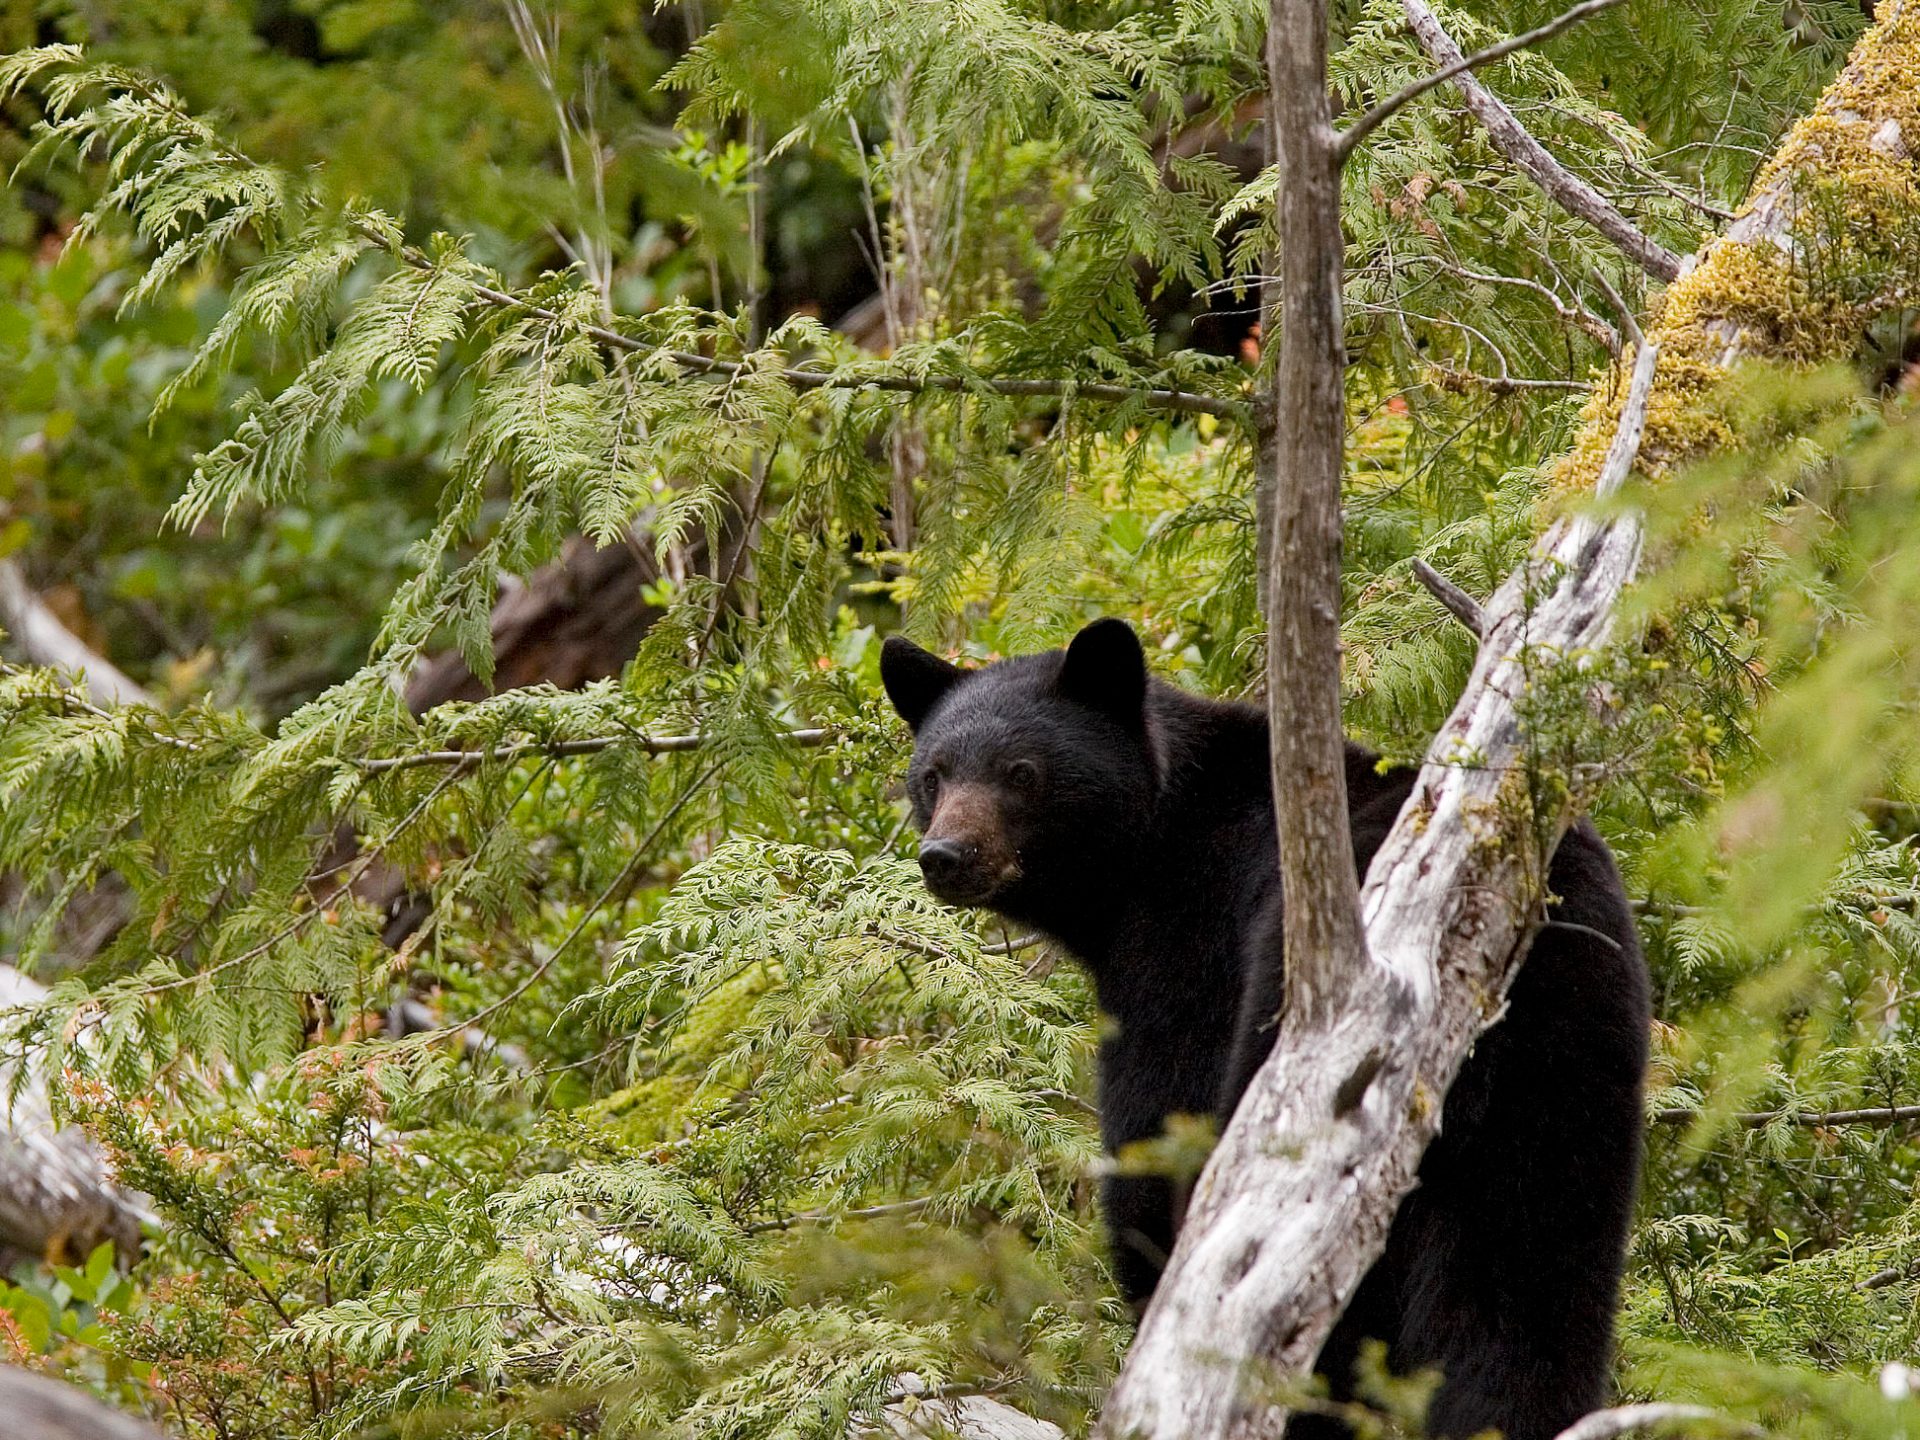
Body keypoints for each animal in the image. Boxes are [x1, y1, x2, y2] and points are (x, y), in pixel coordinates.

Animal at [880, 617, 1649, 1440]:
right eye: (934, 775)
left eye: (1022, 773)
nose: (946, 856)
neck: (1154, 841)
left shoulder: (1189, 945)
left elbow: (1158, 1126)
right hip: (1572, 1075)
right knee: (1530, 1295)